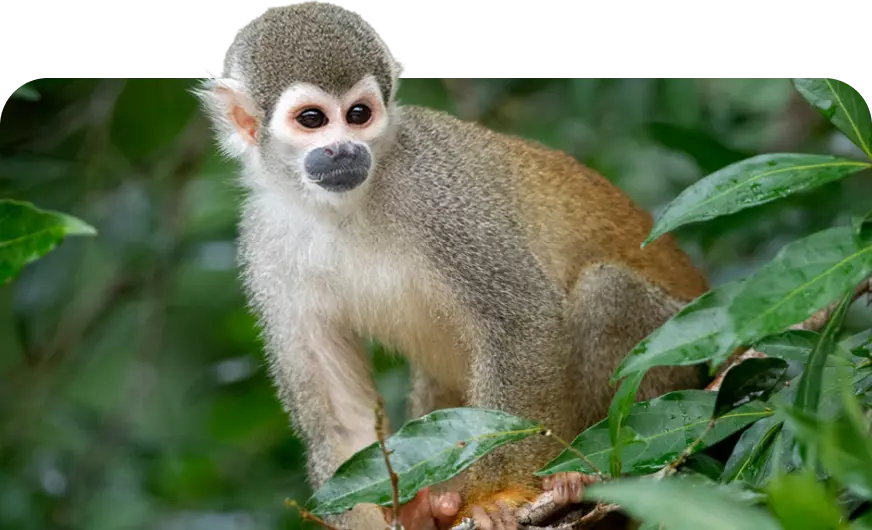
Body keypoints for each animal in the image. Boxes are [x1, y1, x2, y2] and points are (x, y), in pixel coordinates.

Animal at [194, 1, 709, 528]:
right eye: (313, 119)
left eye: (358, 114)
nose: (344, 149)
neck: (340, 207)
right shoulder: (264, 242)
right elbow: (339, 418)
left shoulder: (436, 189)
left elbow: (522, 317)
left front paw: (498, 493)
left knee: (606, 294)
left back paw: (574, 479)